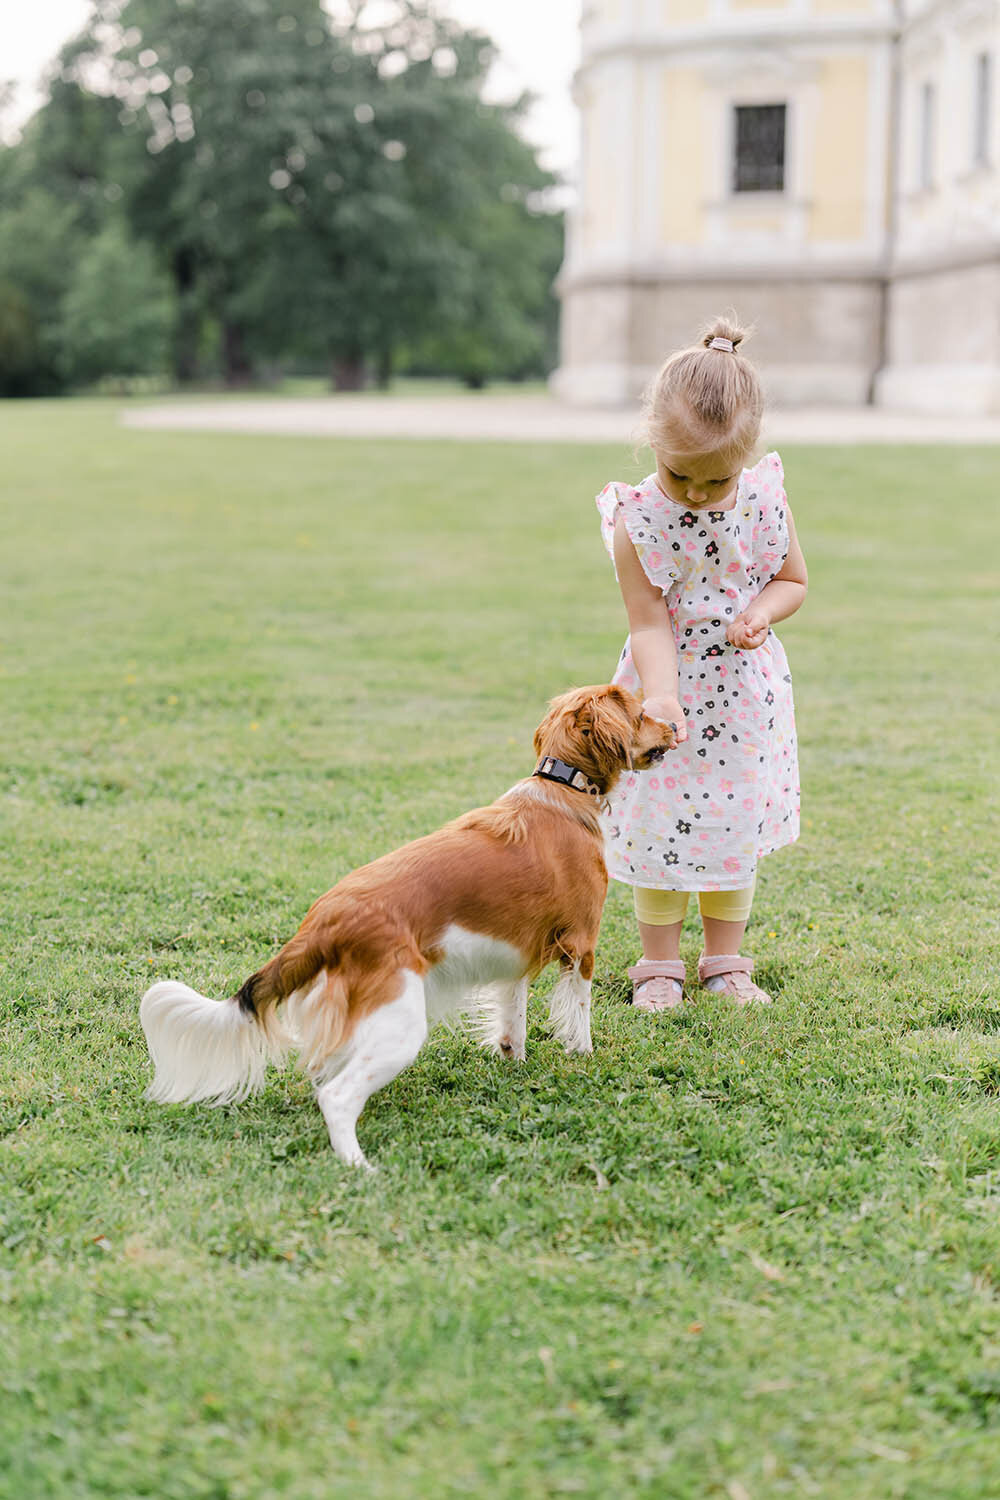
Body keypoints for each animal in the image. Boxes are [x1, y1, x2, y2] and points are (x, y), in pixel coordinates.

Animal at [138, 687, 671, 1164]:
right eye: (642, 712)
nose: (674, 724)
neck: (563, 785)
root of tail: (324, 922)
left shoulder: (514, 957)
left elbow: (513, 1017)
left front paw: (513, 1060)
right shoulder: (581, 946)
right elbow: (578, 1016)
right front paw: (582, 1057)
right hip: (400, 1025)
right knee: (336, 1098)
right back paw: (359, 1166)